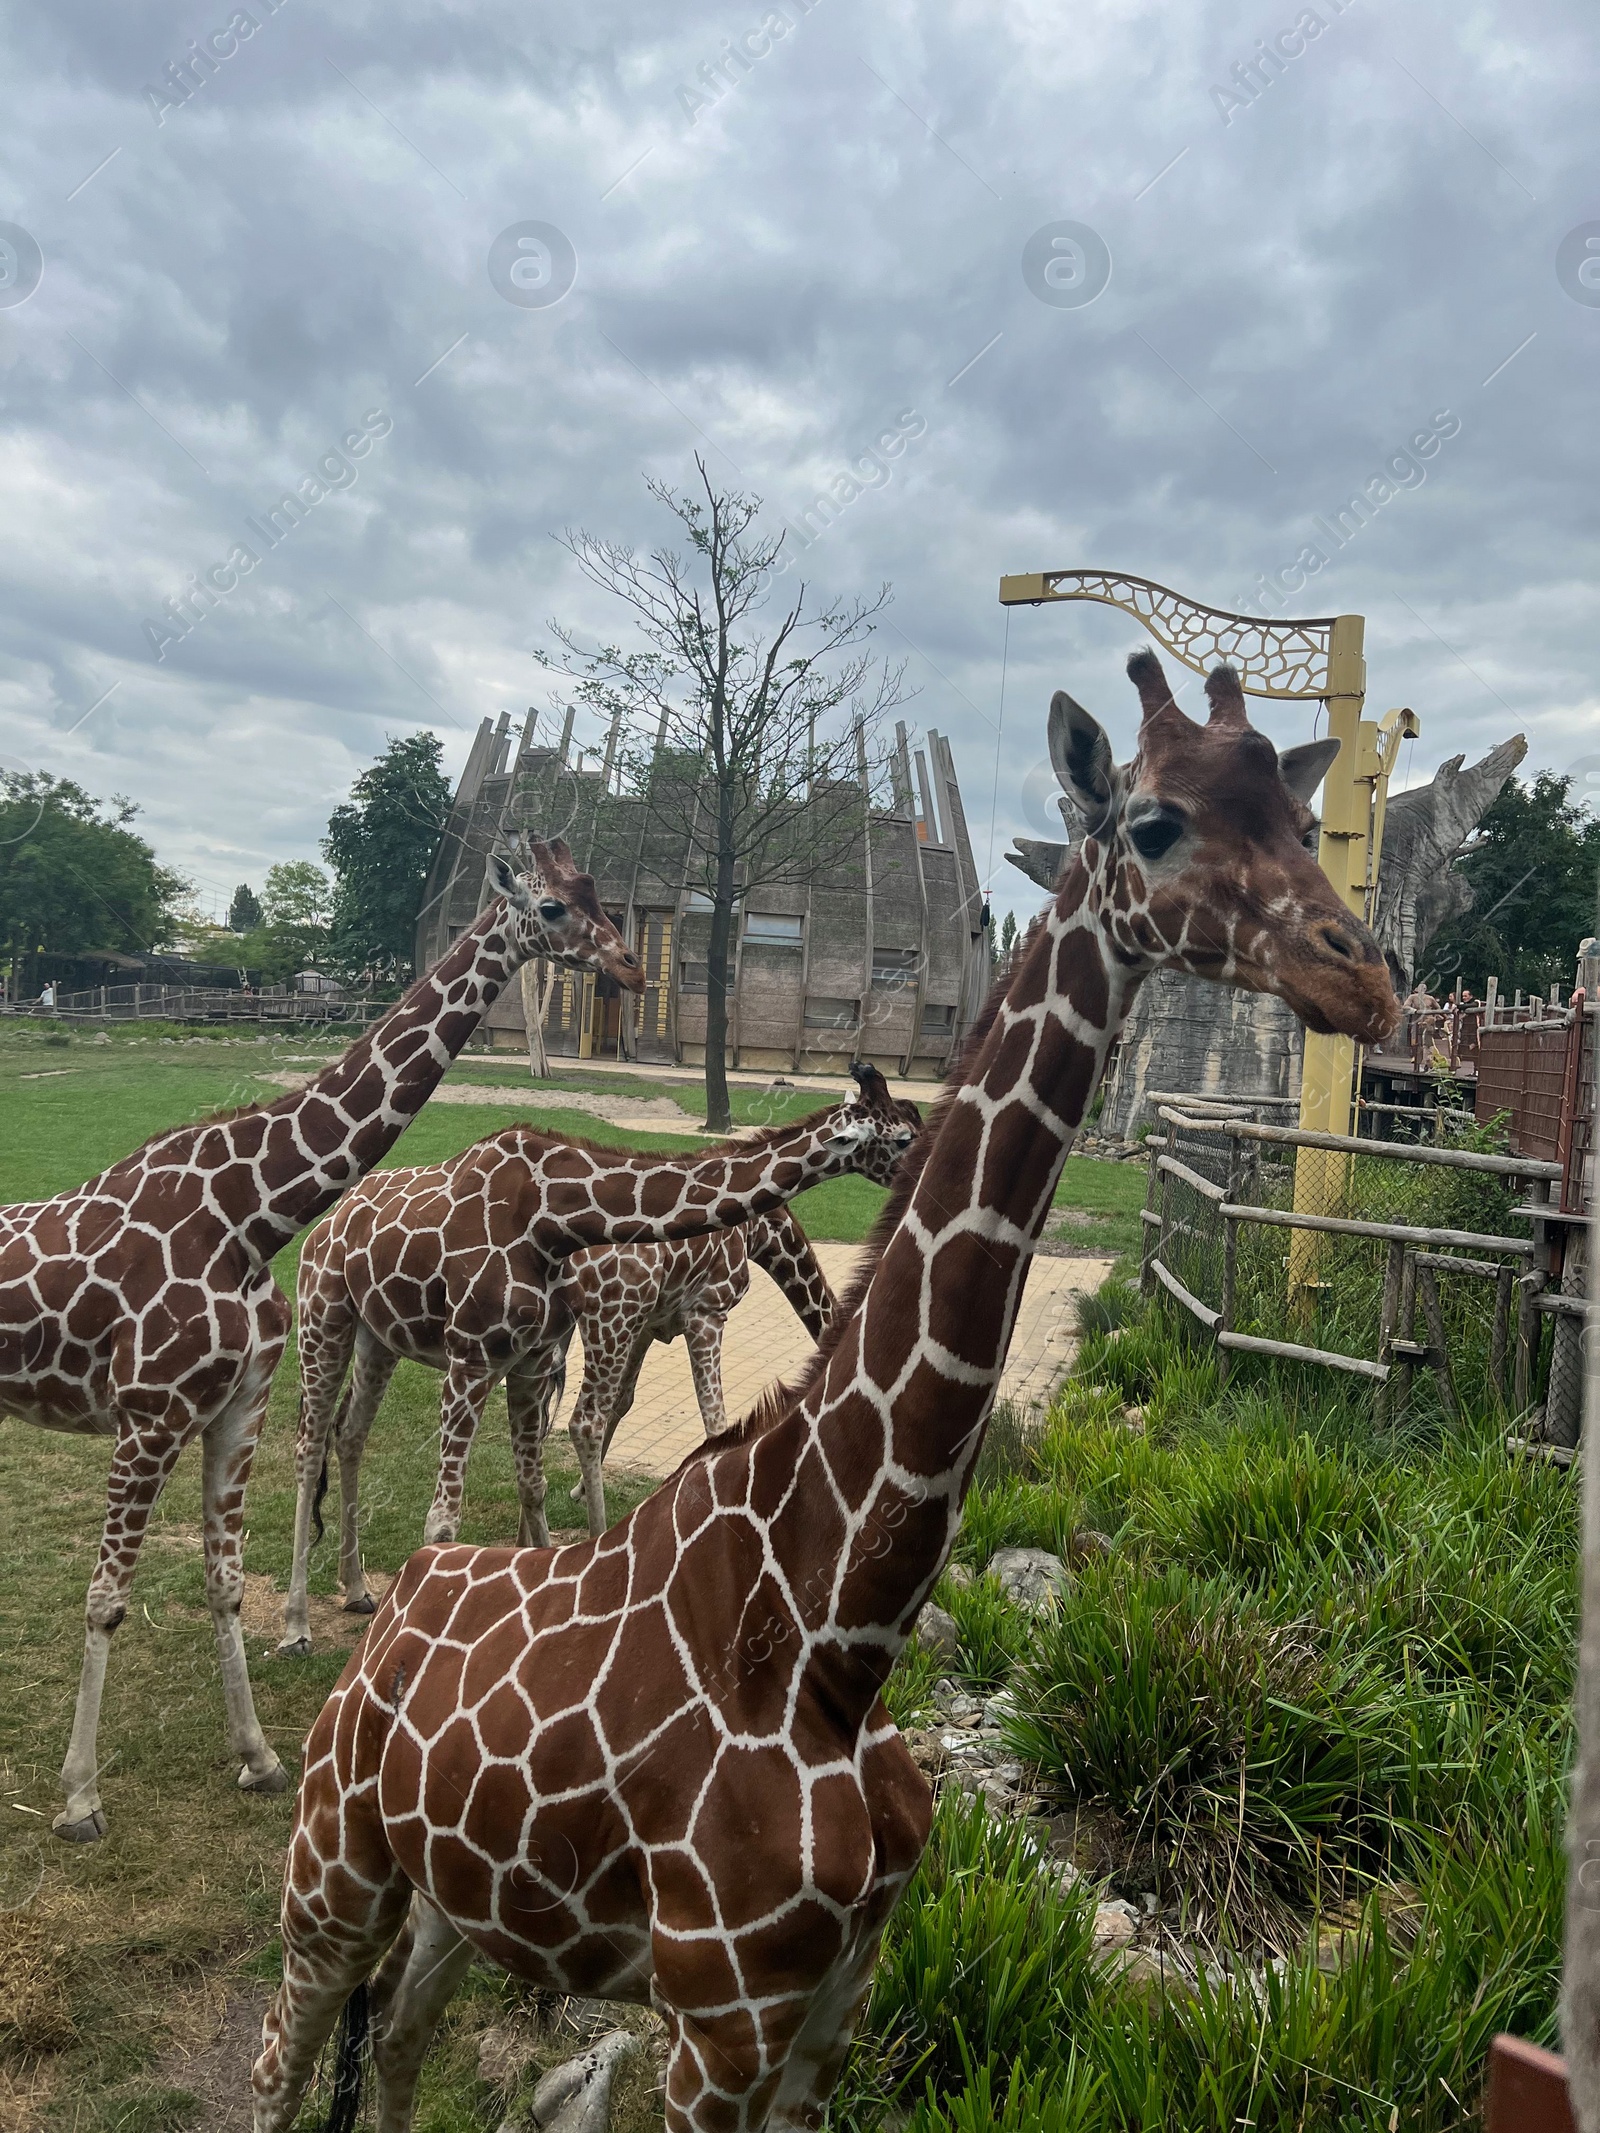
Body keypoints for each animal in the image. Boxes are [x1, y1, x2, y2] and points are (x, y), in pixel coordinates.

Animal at [1, 840, 640, 1842]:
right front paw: (77, 1799)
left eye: (601, 898)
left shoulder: (230, 1407)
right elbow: (107, 1598)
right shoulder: (149, 1412)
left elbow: (222, 1581)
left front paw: (259, 1757)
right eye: (551, 907)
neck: (249, 1213)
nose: (627, 964)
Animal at [281, 1075, 921, 1655]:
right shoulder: (480, 1357)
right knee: (310, 1447)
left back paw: (357, 1588)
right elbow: (443, 1521)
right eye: (906, 1136)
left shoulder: (534, 1358)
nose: (925, 1173)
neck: (551, 1218)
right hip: (324, 1317)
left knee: (350, 1434)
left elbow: (536, 1480)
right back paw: (297, 1626)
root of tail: (326, 1224)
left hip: (379, 1339)